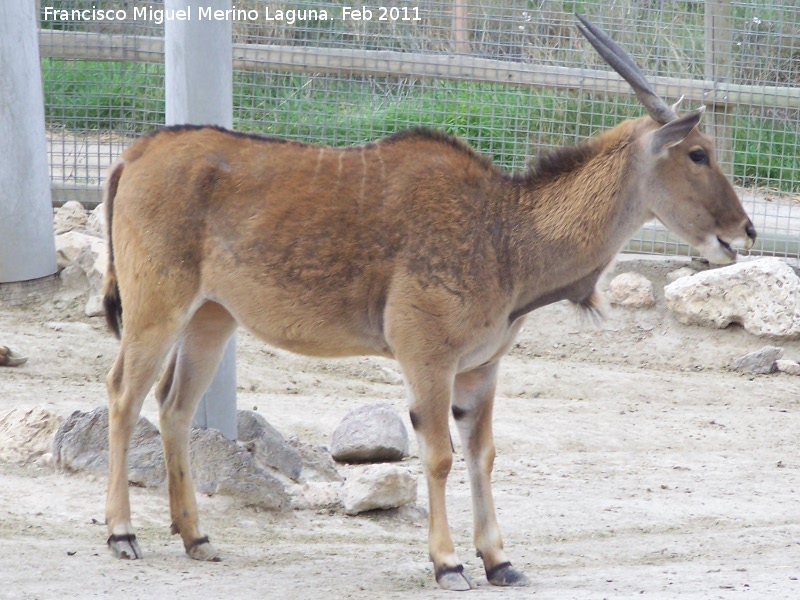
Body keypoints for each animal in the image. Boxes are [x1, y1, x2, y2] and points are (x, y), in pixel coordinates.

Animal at [101, 15, 756, 592]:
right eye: (698, 153)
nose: (745, 232)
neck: (506, 232)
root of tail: (136, 154)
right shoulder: (427, 358)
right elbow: (439, 457)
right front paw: (449, 564)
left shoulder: (480, 370)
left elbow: (482, 455)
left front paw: (500, 562)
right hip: (156, 309)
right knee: (124, 395)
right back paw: (122, 534)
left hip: (211, 319)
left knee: (174, 406)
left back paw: (196, 537)